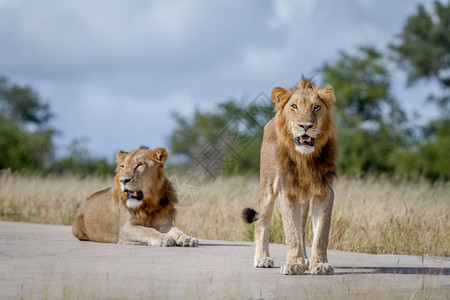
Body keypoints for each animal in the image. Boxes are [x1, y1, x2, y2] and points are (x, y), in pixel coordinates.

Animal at [243, 78, 338, 276]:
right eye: (294, 106)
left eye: (316, 107)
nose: (306, 126)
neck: (305, 159)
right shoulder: (287, 192)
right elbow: (291, 232)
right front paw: (294, 265)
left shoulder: (324, 192)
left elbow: (320, 233)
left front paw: (320, 264)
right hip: (268, 188)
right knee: (261, 224)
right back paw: (262, 259)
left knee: (302, 228)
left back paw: (306, 259)